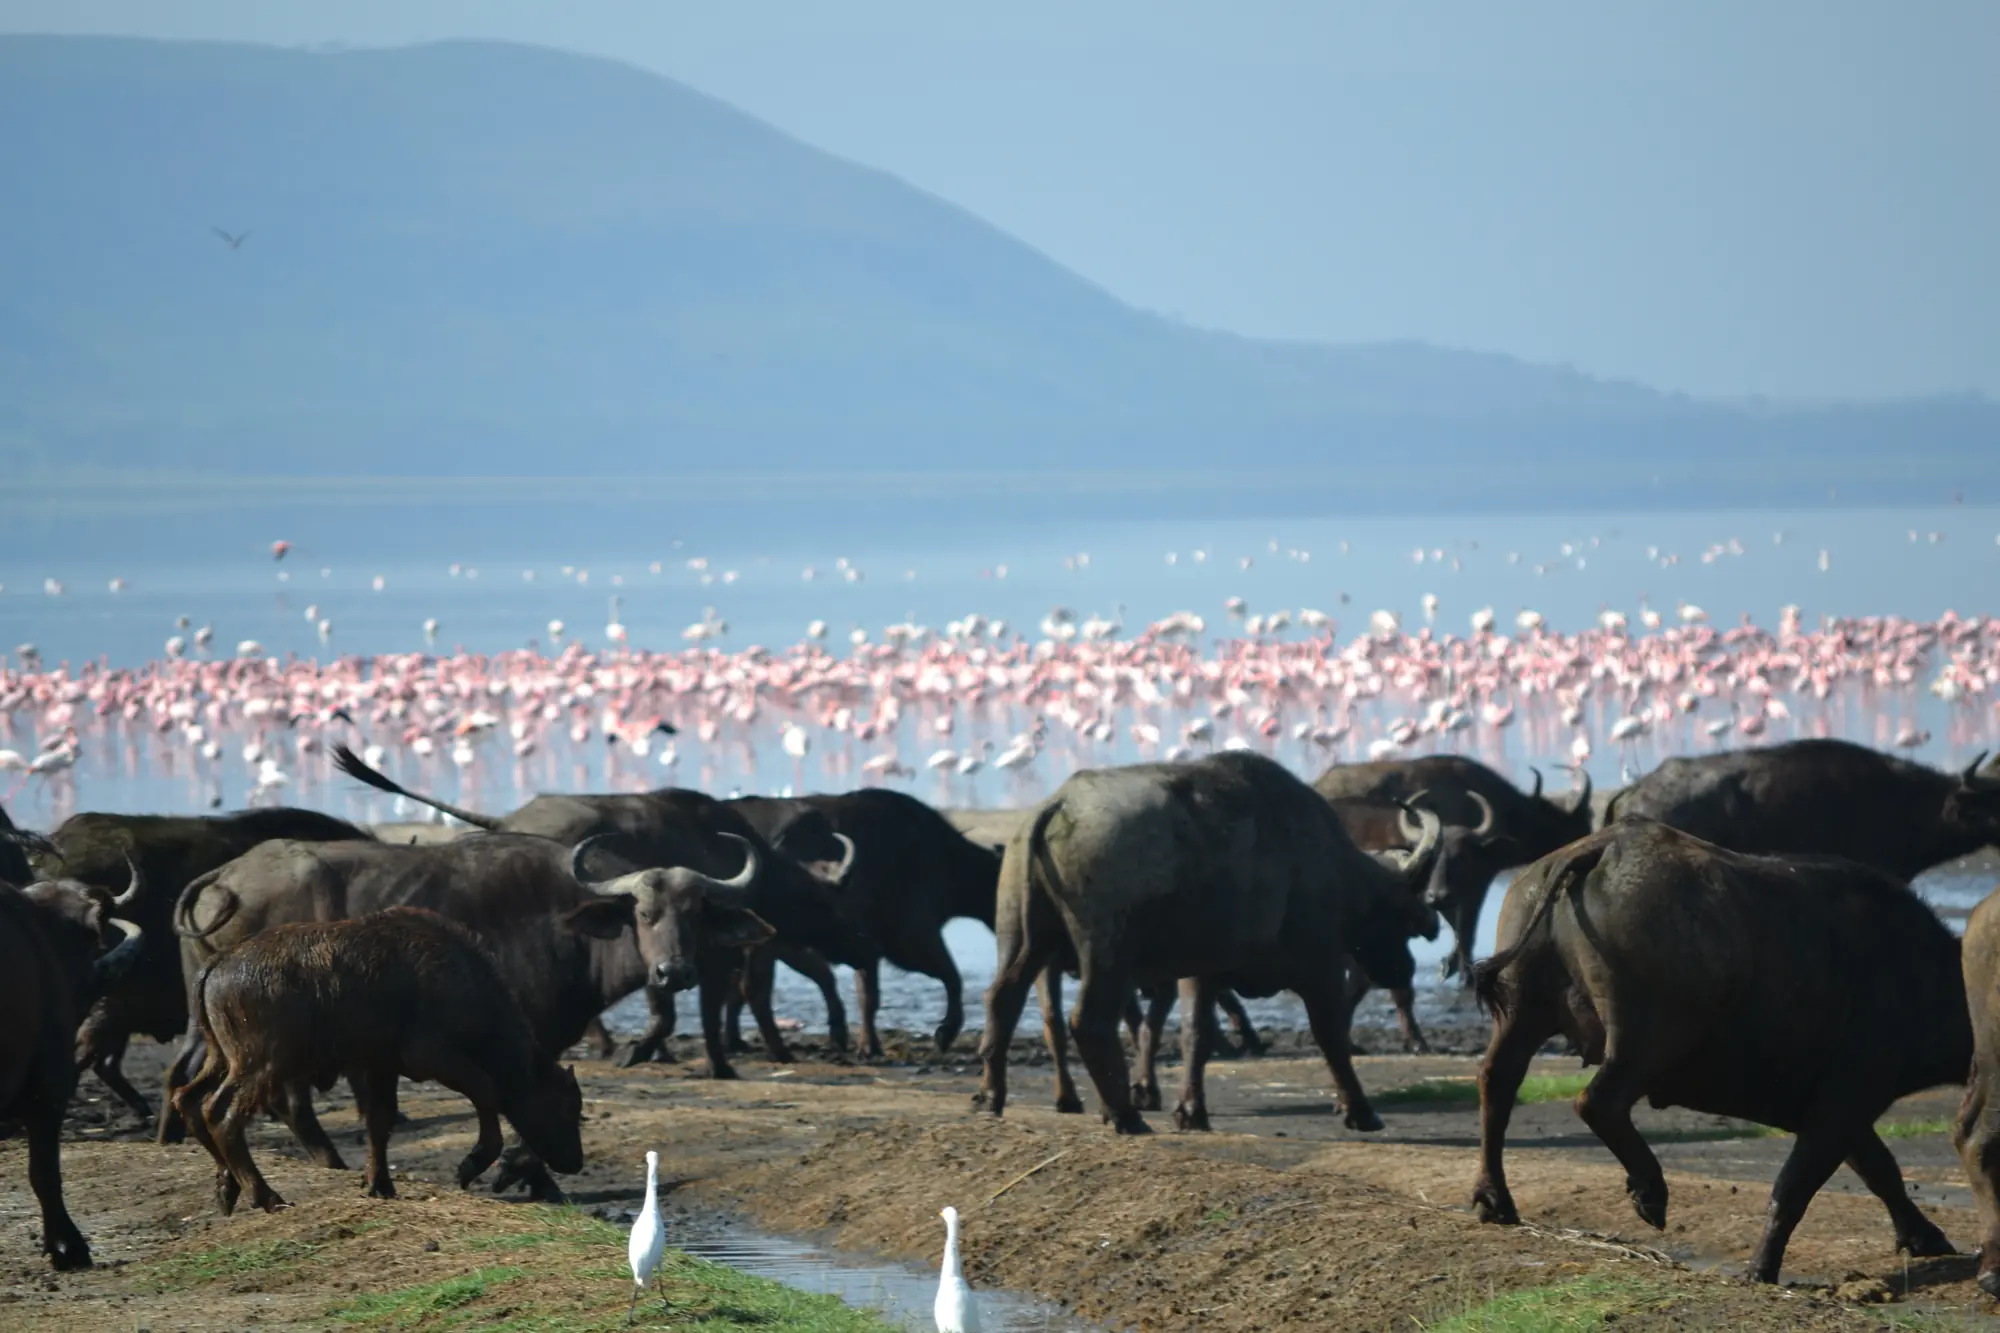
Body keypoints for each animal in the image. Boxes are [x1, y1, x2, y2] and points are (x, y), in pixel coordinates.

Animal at [176, 907, 585, 1214]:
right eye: (566, 1107)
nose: (575, 1162)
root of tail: (219, 961)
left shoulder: (380, 1068)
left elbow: (379, 1121)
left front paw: (379, 1184)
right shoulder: (434, 1059)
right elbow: (487, 1093)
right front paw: (470, 1165)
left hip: (221, 1061)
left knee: (188, 1099)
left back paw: (227, 1188)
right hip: (261, 1067)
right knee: (221, 1114)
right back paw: (267, 1197)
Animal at [978, 751, 1442, 1134]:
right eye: (1401, 919)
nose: (1403, 970)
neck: (1329, 867)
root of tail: (1059, 805)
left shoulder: (1202, 972)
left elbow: (1196, 1036)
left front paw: (1191, 1111)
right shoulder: (1320, 966)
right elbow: (1331, 1036)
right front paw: (1360, 1111)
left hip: (1023, 939)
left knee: (1003, 1000)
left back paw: (992, 1098)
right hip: (1106, 954)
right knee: (1089, 1021)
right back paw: (1126, 1116)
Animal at [1316, 756, 1592, 982]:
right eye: (1574, 825)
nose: (1582, 846)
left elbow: (1462, 926)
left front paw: (1452, 967)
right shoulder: (1468, 886)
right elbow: (1464, 927)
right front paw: (1458, 970)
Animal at [1471, 819, 1964, 1283]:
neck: (1928, 974)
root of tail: (1602, 847)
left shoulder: (1840, 1111)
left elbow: (1880, 1169)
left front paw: (1925, 1237)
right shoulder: (1848, 1099)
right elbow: (1799, 1184)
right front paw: (1761, 1268)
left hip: (1522, 1011)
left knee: (1497, 1082)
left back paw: (1494, 1200)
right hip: (1649, 1036)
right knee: (1598, 1101)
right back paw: (1651, 1192)